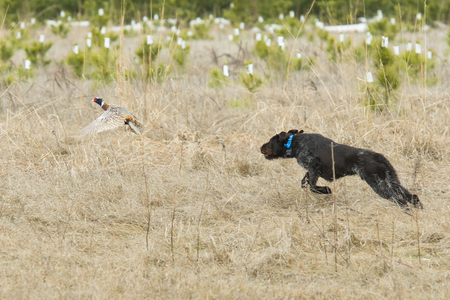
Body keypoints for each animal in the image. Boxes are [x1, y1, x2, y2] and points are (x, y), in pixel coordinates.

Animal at [260, 129, 422, 209]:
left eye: (270, 141)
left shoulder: (313, 166)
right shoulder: (311, 170)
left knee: (400, 201)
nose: (260, 147)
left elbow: (312, 186)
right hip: (392, 180)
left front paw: (325, 190)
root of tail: (377, 156)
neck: (293, 142)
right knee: (412, 197)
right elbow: (304, 182)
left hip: (378, 184)